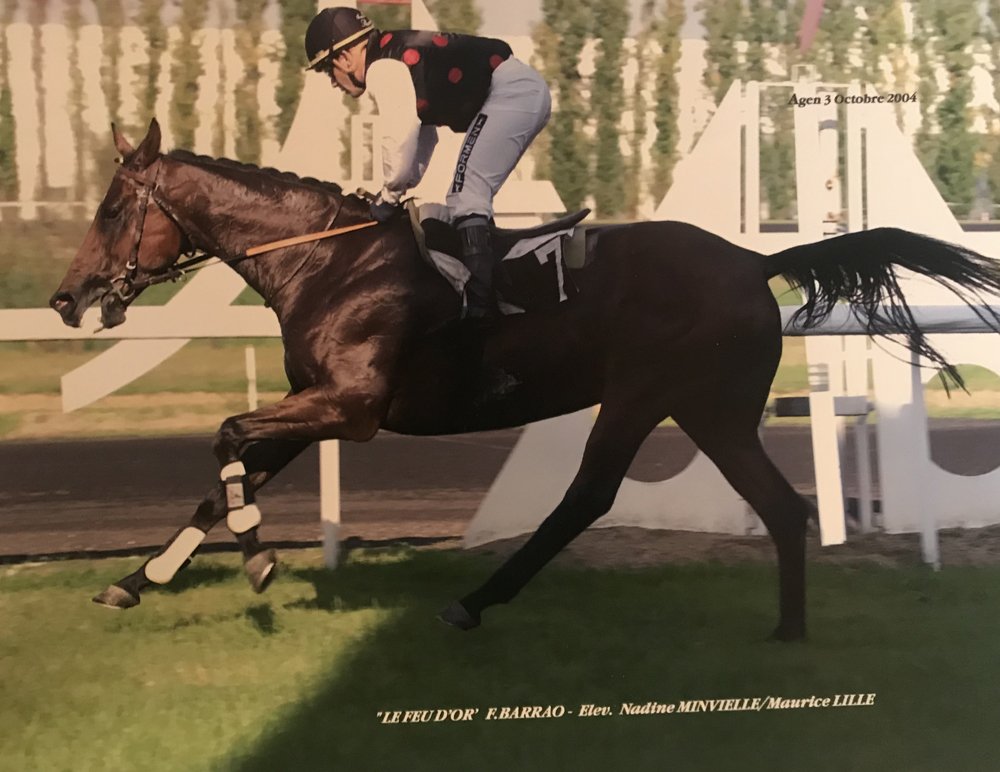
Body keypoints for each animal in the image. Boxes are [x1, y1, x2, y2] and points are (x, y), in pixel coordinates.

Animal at [50, 119, 1000, 641]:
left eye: (111, 208)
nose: (66, 297)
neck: (328, 261)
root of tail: (754, 258)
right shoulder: (310, 403)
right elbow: (224, 477)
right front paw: (135, 581)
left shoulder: (350, 407)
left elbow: (228, 438)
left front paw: (257, 562)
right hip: (712, 410)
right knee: (781, 506)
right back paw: (788, 630)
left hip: (643, 396)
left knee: (588, 497)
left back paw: (474, 603)